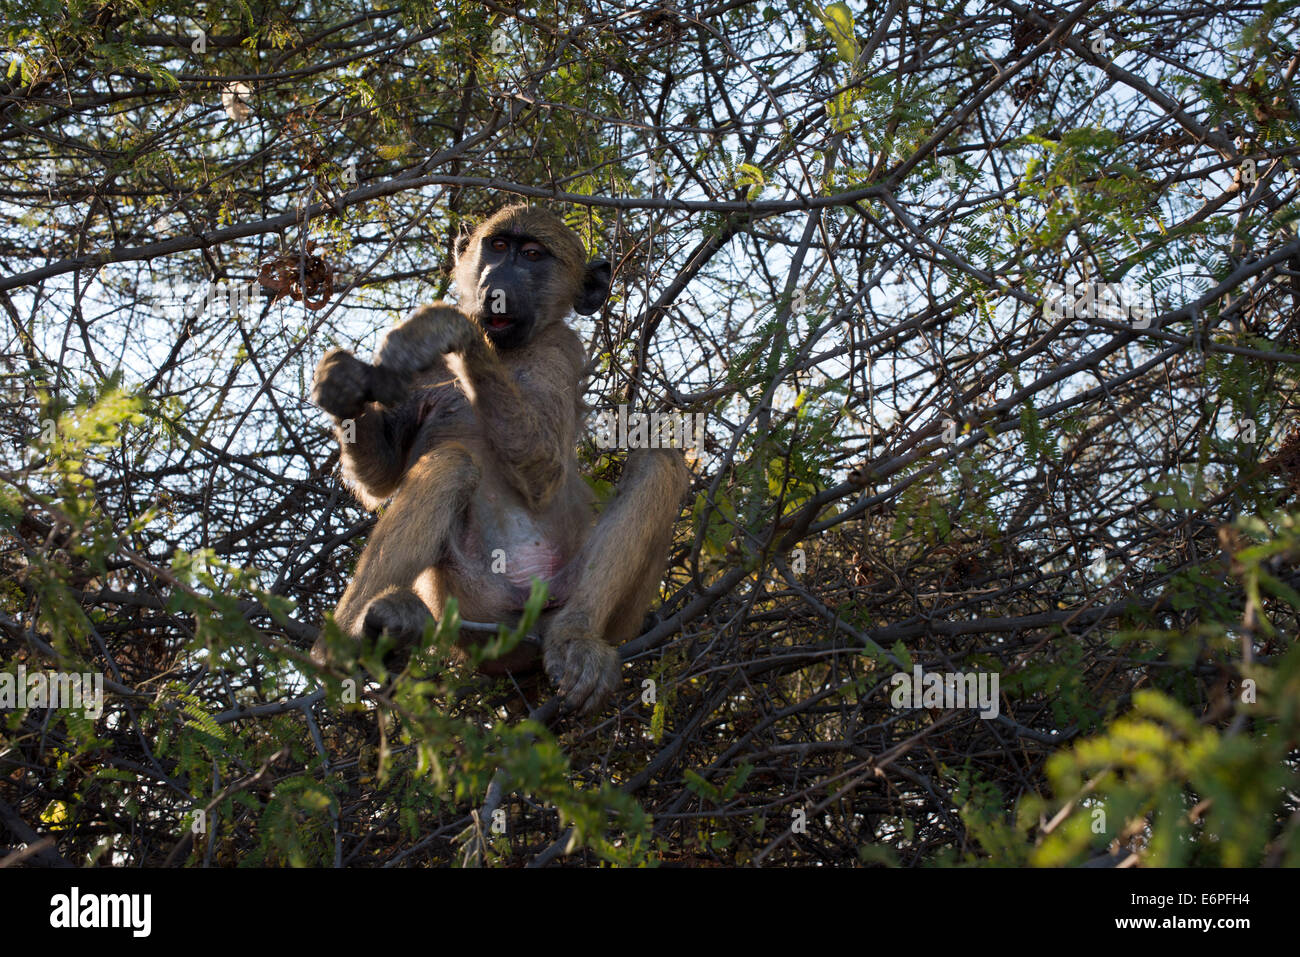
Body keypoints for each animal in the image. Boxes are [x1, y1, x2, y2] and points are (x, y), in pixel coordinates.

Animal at [310, 205, 689, 715]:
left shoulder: (562, 350)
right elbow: (379, 481)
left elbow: (544, 473)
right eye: (498, 246)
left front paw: (451, 330)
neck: (505, 353)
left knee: (657, 462)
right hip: (471, 613)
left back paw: (576, 637)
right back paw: (348, 644)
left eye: (532, 255)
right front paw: (340, 381)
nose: (497, 283)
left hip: (588, 612)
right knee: (451, 465)